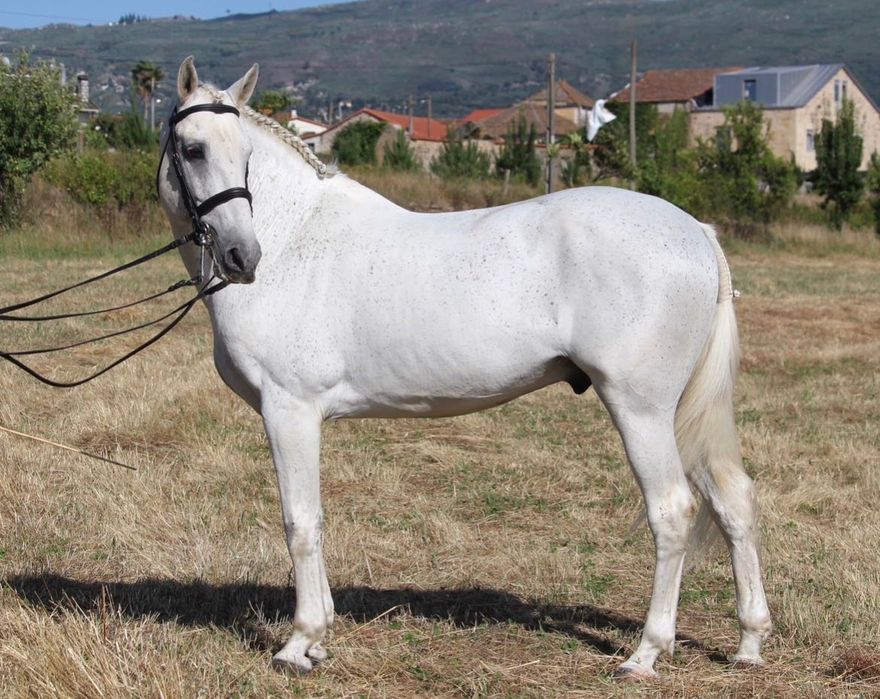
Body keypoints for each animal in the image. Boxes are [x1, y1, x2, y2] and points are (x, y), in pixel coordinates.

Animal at [157, 57, 771, 679]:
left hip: (641, 408)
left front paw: (298, 643)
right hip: (682, 412)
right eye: (193, 149)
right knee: (733, 500)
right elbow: (316, 519)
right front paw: (320, 638)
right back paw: (748, 642)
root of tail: (697, 233)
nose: (242, 257)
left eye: (243, 154)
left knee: (672, 511)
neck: (294, 239)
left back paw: (646, 652)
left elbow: (301, 521)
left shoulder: (290, 410)